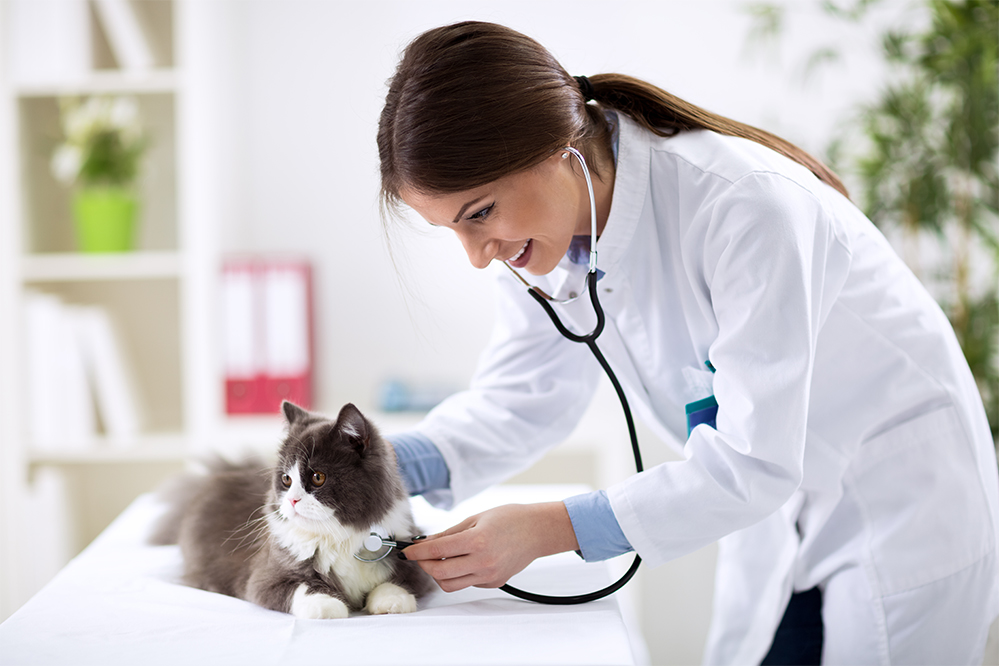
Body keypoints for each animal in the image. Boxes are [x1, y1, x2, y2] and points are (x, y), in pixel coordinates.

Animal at [150, 400, 432, 616]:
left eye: (318, 477)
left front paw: (391, 602)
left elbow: (398, 583)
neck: (339, 537)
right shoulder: (263, 579)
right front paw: (327, 606)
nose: (292, 500)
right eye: (286, 480)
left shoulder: (413, 561)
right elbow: (302, 588)